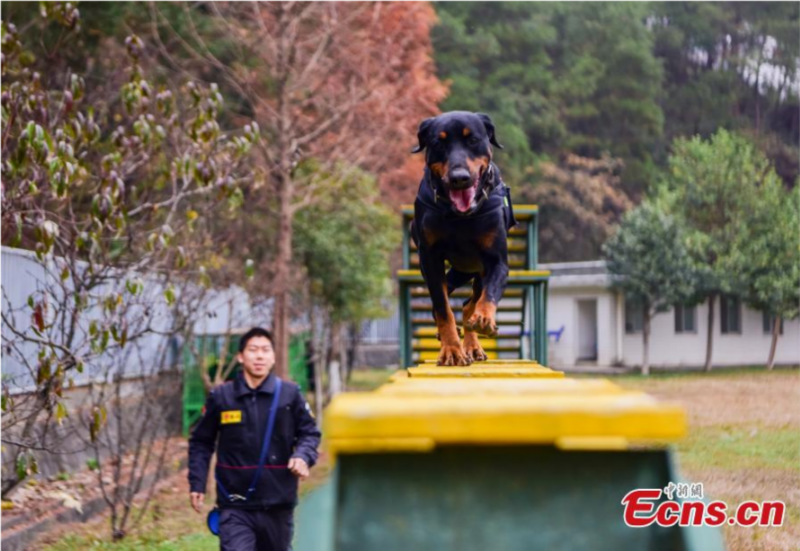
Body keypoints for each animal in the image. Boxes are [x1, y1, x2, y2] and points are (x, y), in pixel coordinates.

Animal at [410, 111, 516, 366]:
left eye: (473, 140)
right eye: (438, 143)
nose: (459, 178)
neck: (461, 215)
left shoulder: (496, 261)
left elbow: (489, 293)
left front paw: (484, 320)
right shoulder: (430, 259)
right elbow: (442, 307)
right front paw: (451, 350)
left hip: (474, 269)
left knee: (471, 302)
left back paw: (474, 344)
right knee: (445, 296)